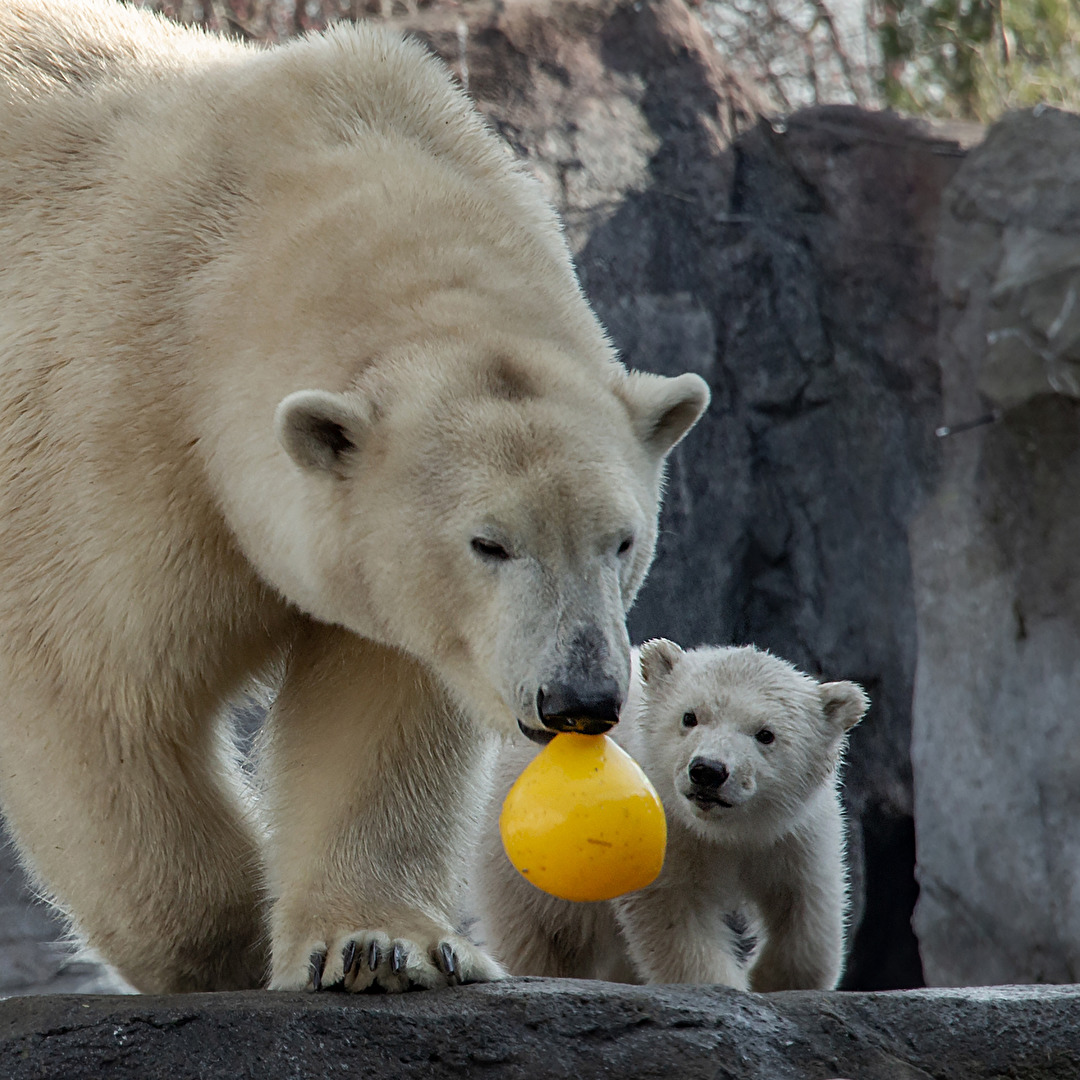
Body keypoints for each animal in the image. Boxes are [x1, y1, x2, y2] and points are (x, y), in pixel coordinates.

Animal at [0, 2, 708, 993]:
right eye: (490, 542)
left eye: (622, 540)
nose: (581, 697)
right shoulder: (107, 429)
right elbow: (98, 692)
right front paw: (226, 948)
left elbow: (379, 701)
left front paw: (376, 947)